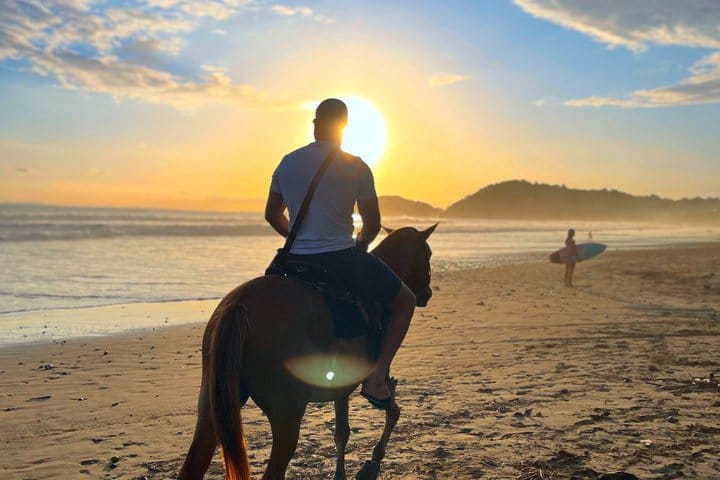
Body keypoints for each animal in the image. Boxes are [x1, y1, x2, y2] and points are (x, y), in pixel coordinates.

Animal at [178, 224, 437, 480]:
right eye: (429, 253)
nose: (427, 293)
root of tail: (240, 303)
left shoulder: (341, 384)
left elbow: (342, 431)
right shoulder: (378, 375)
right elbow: (393, 411)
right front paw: (375, 457)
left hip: (213, 405)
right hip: (286, 415)